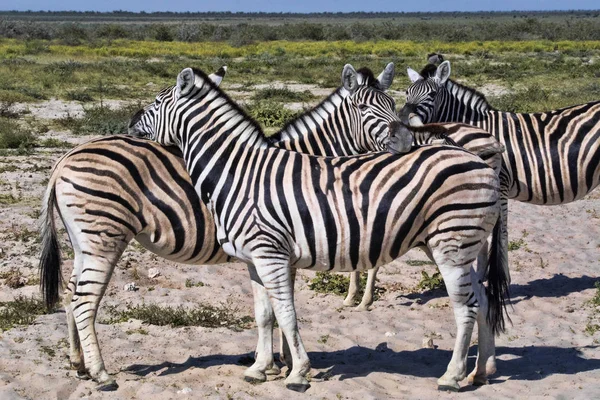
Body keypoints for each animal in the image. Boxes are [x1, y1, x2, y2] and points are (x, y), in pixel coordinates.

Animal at [39, 63, 410, 390]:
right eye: (365, 107)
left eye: (393, 104)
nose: (406, 141)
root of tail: (66, 157)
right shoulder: (279, 250)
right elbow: (281, 309)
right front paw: (287, 364)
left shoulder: (274, 253)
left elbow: (271, 310)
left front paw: (273, 364)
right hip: (104, 235)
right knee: (85, 300)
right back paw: (101, 374)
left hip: (83, 241)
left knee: (72, 295)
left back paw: (79, 364)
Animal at [129, 67, 508, 392]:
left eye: (158, 102)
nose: (130, 124)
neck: (239, 173)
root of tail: (480, 159)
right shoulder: (253, 259)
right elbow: (264, 315)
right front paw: (259, 368)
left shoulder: (272, 255)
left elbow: (286, 314)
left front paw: (297, 372)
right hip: (454, 245)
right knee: (483, 300)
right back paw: (481, 372)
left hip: (451, 244)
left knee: (465, 307)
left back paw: (452, 376)